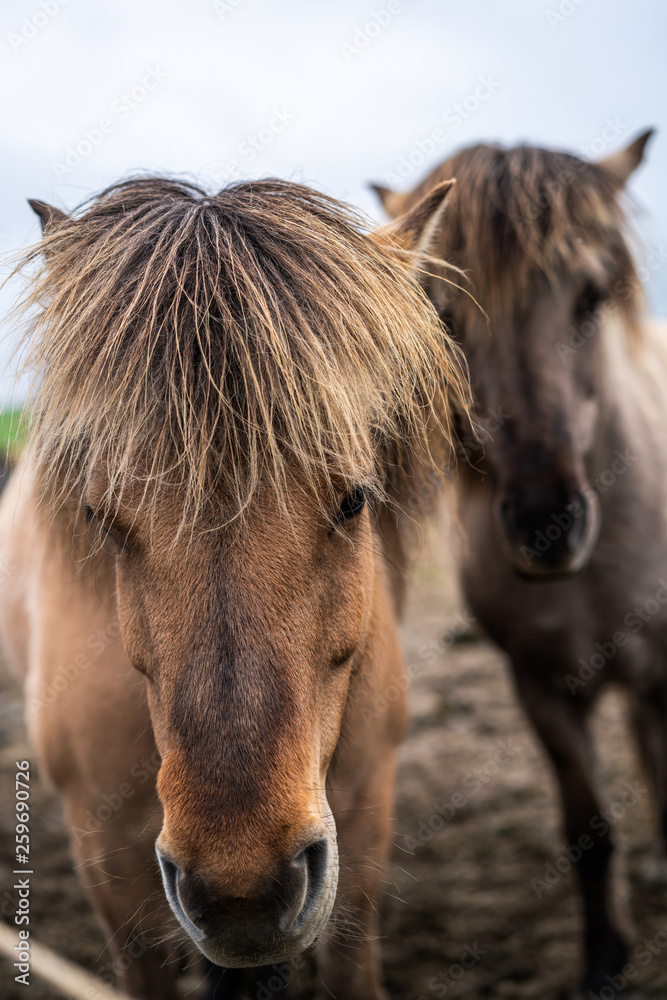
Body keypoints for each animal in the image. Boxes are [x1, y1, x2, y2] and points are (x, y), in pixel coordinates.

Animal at [374, 129, 664, 996]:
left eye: (590, 298)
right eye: (447, 316)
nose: (545, 525)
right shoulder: (540, 688)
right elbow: (588, 829)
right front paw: (603, 957)